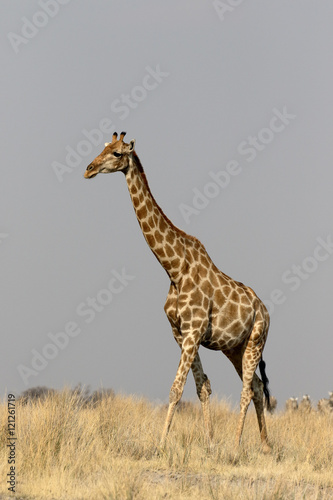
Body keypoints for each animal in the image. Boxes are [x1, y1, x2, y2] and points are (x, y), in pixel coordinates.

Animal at [83, 131, 270, 452]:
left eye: (117, 153)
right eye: (103, 147)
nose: (89, 169)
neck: (174, 268)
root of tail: (267, 313)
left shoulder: (194, 331)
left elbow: (176, 388)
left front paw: (160, 444)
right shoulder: (180, 333)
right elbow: (202, 386)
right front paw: (209, 442)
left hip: (256, 341)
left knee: (248, 389)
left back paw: (236, 446)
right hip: (235, 347)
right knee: (257, 386)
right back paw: (266, 445)